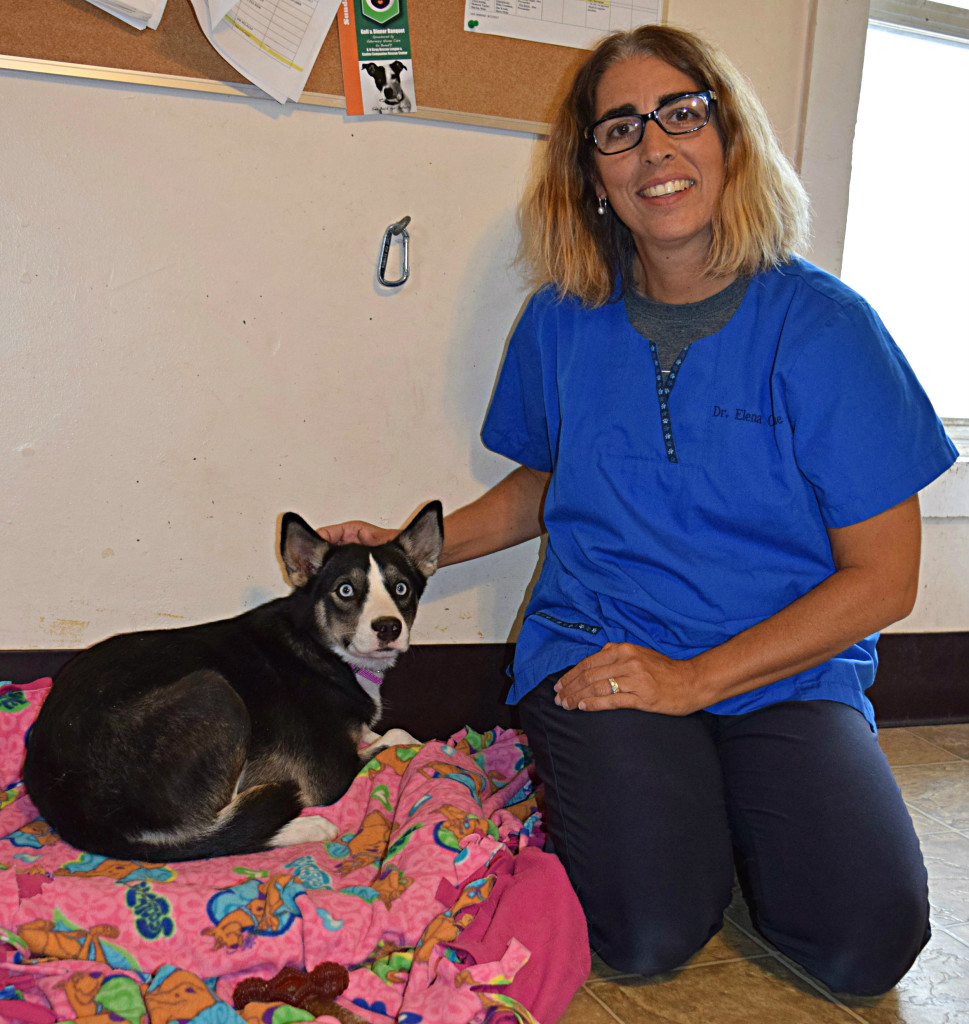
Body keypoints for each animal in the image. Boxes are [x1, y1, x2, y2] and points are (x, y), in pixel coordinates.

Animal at [23, 503, 442, 864]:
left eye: (401, 588)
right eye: (345, 590)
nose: (388, 628)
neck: (320, 646)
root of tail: (65, 799)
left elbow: (380, 733)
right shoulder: (328, 775)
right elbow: (400, 736)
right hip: (216, 692)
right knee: (220, 832)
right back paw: (304, 826)